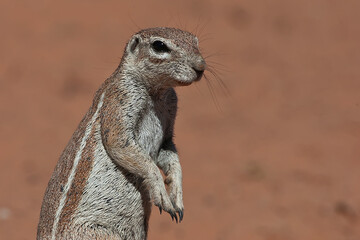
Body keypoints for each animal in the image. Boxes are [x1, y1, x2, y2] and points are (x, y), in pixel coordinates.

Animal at [37, 27, 205, 239]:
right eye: (159, 46)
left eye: (196, 41)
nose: (201, 66)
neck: (156, 93)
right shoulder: (120, 98)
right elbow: (121, 144)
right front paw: (162, 194)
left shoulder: (169, 120)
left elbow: (170, 155)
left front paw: (177, 196)